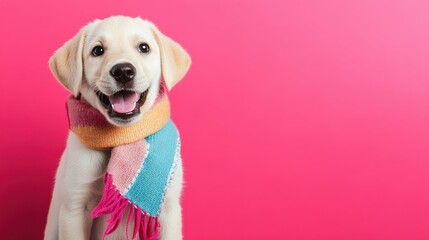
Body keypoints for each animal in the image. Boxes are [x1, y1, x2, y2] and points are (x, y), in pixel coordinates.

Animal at [44, 15, 190, 240]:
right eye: (97, 50)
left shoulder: (168, 209)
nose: (123, 71)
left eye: (144, 47)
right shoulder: (74, 207)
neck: (120, 138)